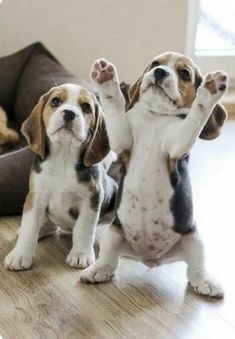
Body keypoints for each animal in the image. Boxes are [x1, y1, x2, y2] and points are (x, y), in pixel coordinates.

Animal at [3, 84, 117, 270]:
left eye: (86, 107)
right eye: (55, 101)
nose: (69, 113)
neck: (64, 156)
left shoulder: (91, 199)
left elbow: (84, 229)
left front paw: (80, 255)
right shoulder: (36, 196)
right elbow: (29, 227)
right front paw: (20, 255)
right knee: (49, 226)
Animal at [80, 51, 228, 298]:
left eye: (184, 74)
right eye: (155, 64)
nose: (159, 72)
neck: (156, 117)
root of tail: (150, 258)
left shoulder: (176, 146)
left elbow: (195, 116)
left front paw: (210, 91)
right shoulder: (123, 140)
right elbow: (115, 108)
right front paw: (106, 80)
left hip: (195, 238)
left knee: (195, 268)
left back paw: (205, 282)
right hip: (113, 233)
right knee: (110, 260)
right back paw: (98, 270)